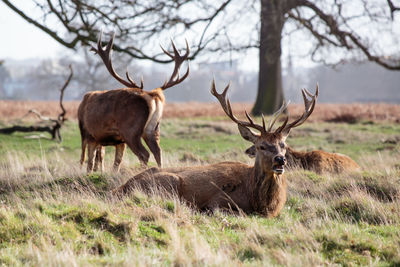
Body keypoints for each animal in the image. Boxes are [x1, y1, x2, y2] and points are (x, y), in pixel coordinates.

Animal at [79, 32, 191, 173]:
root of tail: (151, 95)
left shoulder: (90, 135)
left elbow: (90, 162)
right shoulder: (117, 141)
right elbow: (112, 162)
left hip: (130, 130)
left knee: (144, 154)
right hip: (153, 129)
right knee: (158, 151)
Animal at [113, 81, 318, 218]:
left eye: (283, 145)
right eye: (261, 146)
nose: (280, 160)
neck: (258, 200)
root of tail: (120, 189)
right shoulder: (218, 200)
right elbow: (234, 212)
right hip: (169, 182)